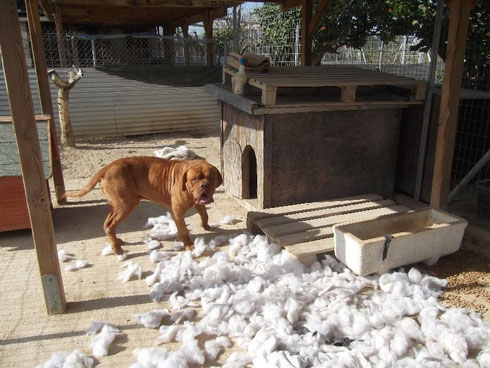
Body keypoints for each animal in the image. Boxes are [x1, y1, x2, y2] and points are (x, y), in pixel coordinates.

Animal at [62, 157, 223, 254]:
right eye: (194, 179)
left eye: (211, 177)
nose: (204, 185)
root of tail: (107, 168)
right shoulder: (177, 211)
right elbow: (183, 230)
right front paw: (188, 244)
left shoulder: (198, 203)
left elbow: (204, 214)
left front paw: (206, 226)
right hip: (126, 204)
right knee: (109, 225)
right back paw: (117, 248)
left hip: (117, 205)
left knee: (108, 224)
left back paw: (116, 241)